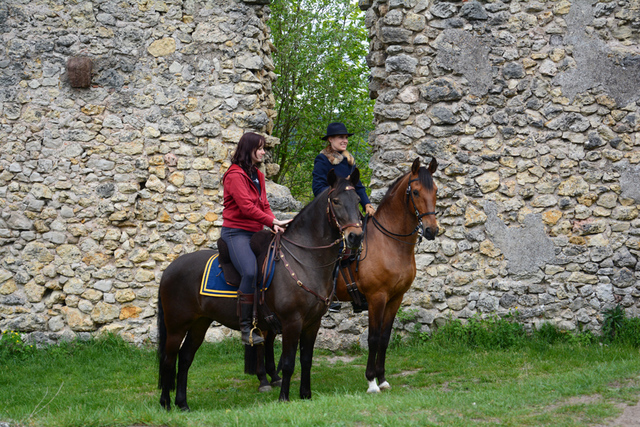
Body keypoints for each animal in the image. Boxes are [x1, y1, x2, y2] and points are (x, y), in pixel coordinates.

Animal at [157, 169, 362, 410]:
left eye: (357, 200)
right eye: (336, 201)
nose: (355, 237)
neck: (305, 259)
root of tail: (169, 269)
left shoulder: (313, 323)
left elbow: (306, 360)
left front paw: (306, 395)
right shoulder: (292, 322)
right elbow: (289, 362)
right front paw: (284, 397)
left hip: (200, 323)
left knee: (185, 358)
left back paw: (183, 404)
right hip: (177, 326)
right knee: (169, 359)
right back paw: (166, 404)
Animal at [332, 158, 438, 394]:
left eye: (436, 190)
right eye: (415, 192)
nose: (432, 230)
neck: (389, 242)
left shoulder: (395, 298)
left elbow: (384, 337)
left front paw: (382, 378)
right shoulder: (376, 298)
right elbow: (373, 338)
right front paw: (371, 381)